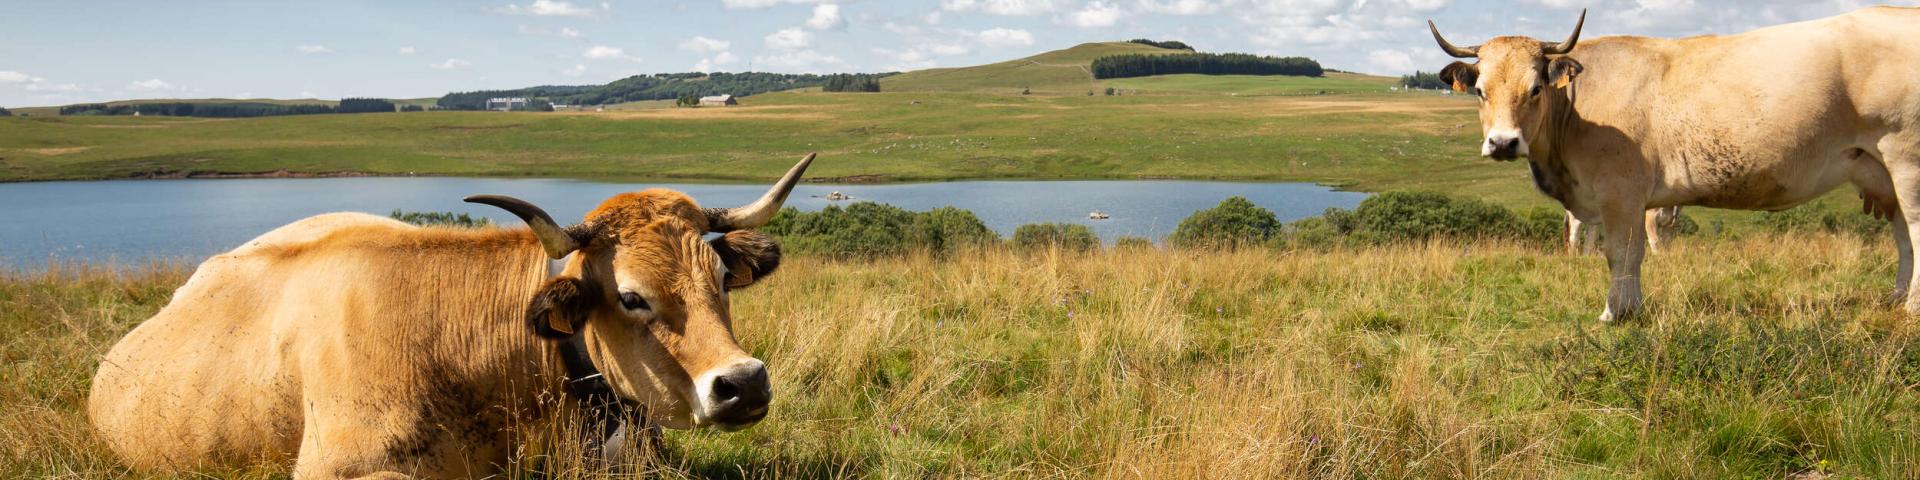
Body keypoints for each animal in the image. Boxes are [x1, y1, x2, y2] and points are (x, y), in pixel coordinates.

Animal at [1428, 6, 1920, 318]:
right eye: (1479, 91)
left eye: (1534, 89)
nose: (1503, 142)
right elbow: (1633, 254)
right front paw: (1632, 308)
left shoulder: (1620, 191)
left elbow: (1621, 253)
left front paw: (1616, 313)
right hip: (1881, 171)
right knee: (1902, 237)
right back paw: (1896, 300)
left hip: (1907, 161)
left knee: (1914, 229)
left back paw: (1911, 307)